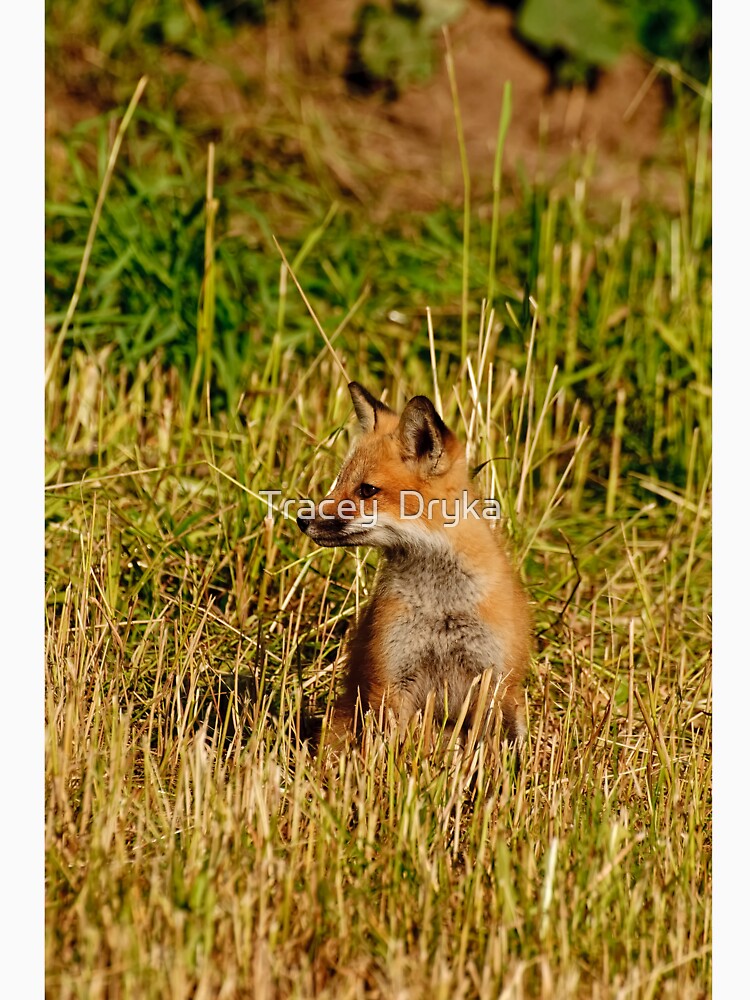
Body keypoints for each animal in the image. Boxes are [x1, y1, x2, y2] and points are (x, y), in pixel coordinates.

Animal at [297, 382, 531, 749]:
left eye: (367, 490)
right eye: (339, 481)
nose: (302, 521)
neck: (442, 606)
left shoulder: (493, 680)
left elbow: (486, 749)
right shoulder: (392, 675)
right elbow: (390, 748)